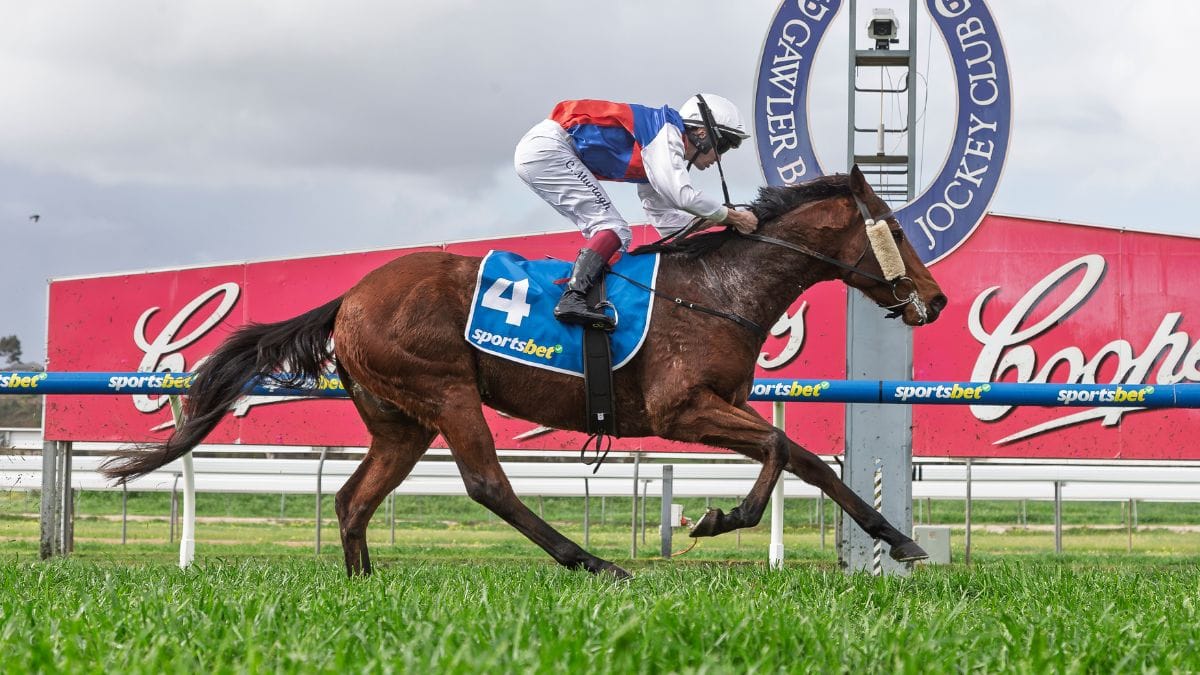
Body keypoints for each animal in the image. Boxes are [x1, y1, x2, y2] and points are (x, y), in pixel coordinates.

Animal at [102, 166, 947, 579]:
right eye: (896, 229)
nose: (935, 298)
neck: (717, 289)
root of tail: (350, 295)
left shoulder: (718, 406)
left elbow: (811, 460)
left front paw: (900, 541)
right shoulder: (679, 409)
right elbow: (778, 450)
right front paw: (716, 517)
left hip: (401, 421)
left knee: (352, 497)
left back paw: (363, 582)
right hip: (446, 390)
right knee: (488, 485)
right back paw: (594, 561)